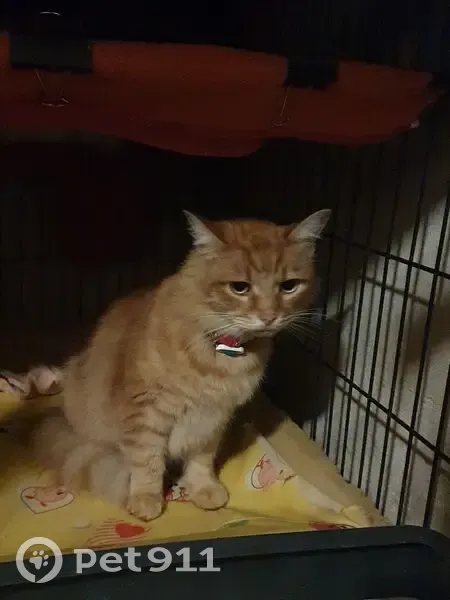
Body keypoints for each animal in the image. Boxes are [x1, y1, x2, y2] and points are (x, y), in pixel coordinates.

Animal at [22, 209, 330, 521]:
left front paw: (202, 488)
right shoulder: (145, 414)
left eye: (289, 286)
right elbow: (147, 463)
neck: (220, 352)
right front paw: (146, 498)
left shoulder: (212, 420)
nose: (269, 317)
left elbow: (201, 461)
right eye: (239, 288)